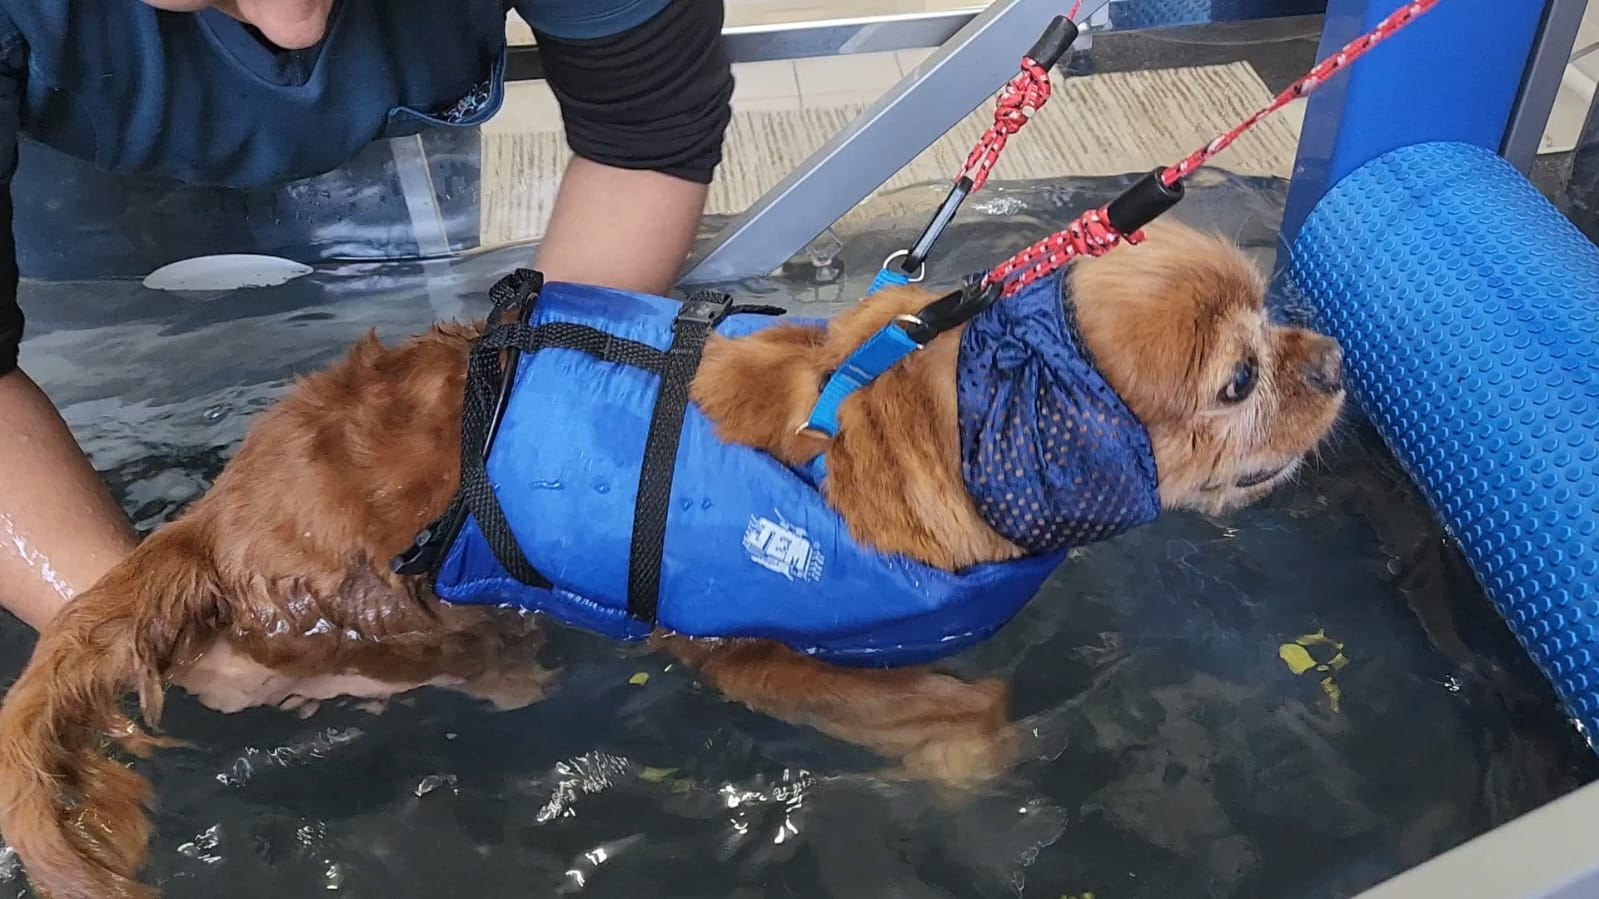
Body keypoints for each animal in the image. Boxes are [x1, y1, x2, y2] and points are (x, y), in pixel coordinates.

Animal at [0, 219, 1343, 895]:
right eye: (1238, 379)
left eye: (1278, 316)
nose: (1332, 360)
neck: (941, 429)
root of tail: (217, 513)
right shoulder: (751, 652)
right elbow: (956, 709)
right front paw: (985, 761)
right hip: (429, 619)